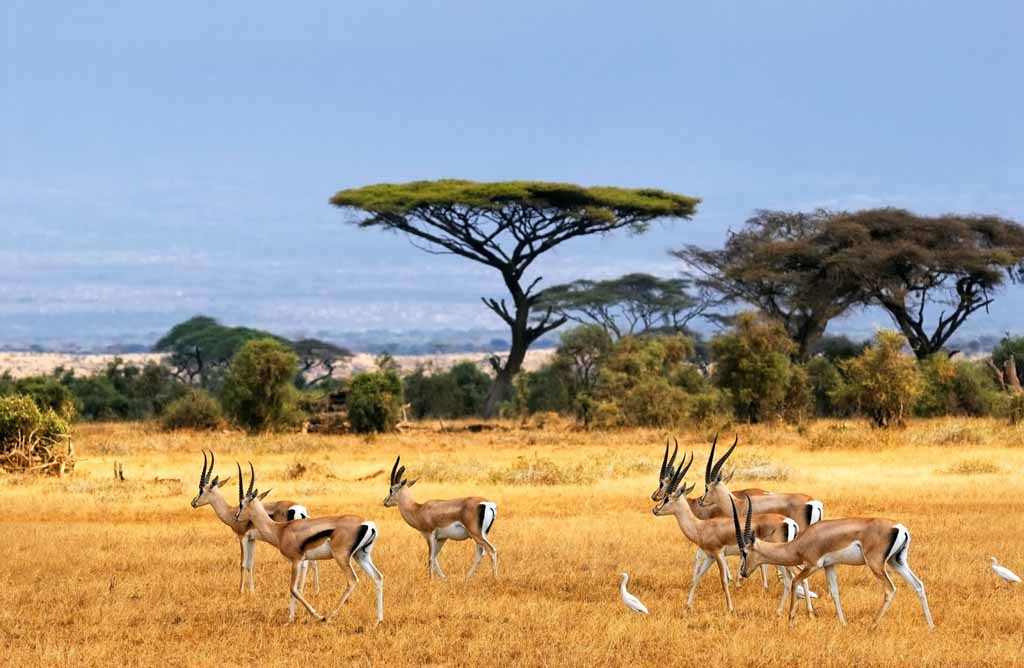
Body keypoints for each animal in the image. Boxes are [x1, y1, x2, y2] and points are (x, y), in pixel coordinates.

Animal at [190, 450, 319, 594]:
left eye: (201, 490)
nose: (193, 503)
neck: (231, 511)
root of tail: (300, 510)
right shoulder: (253, 539)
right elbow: (250, 564)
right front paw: (252, 590)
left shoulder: (243, 537)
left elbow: (243, 563)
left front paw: (241, 591)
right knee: (313, 562)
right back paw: (315, 590)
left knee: (305, 563)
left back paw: (301, 590)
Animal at [235, 463, 384, 624]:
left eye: (241, 504)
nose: (236, 517)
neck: (280, 531)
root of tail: (367, 523)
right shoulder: (298, 562)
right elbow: (293, 591)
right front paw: (290, 619)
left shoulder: (297, 560)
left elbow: (293, 589)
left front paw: (316, 615)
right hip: (361, 556)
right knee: (378, 577)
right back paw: (378, 620)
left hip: (342, 557)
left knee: (352, 581)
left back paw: (328, 616)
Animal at [652, 451, 799, 613]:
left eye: (666, 499)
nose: (655, 509)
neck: (701, 526)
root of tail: (789, 522)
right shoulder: (710, 556)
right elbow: (697, 577)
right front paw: (688, 605)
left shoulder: (718, 554)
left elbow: (724, 580)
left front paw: (730, 608)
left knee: (791, 578)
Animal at [731, 495, 934, 628]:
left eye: (744, 553)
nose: (743, 573)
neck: (799, 543)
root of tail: (899, 527)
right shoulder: (830, 566)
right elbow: (835, 592)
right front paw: (843, 623)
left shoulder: (813, 565)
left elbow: (796, 581)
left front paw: (791, 622)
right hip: (897, 562)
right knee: (918, 584)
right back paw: (930, 626)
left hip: (876, 564)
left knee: (890, 589)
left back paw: (872, 625)